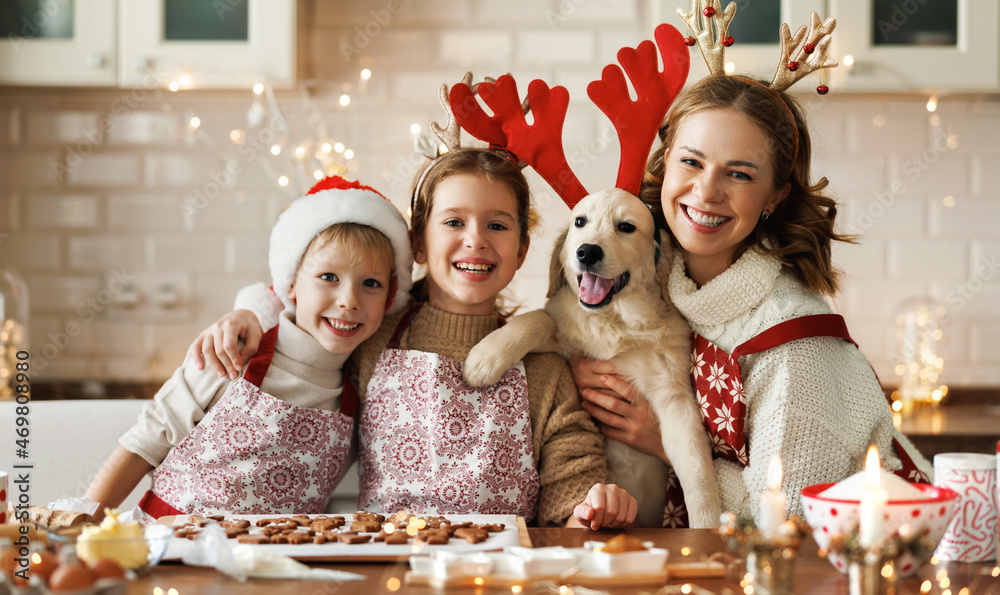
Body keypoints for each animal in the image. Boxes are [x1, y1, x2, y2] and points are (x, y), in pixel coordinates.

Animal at [460, 189, 720, 528]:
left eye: (626, 227)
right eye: (580, 222)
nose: (586, 252)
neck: (617, 321)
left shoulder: (673, 395)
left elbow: (697, 470)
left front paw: (707, 525)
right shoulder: (564, 337)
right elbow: (539, 319)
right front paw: (485, 358)